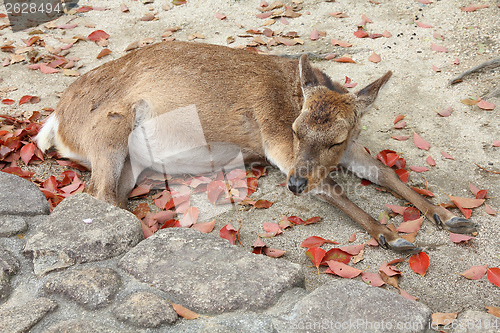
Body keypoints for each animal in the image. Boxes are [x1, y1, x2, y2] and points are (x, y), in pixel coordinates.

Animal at [36, 40, 476, 252]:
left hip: (131, 162)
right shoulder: (276, 140)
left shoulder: (348, 148)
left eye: (337, 138)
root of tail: (56, 122)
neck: (292, 99)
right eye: (297, 130)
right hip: (108, 132)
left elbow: (384, 172)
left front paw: (449, 215)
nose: (294, 186)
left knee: (110, 195)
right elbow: (329, 185)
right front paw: (393, 235)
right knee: (97, 193)